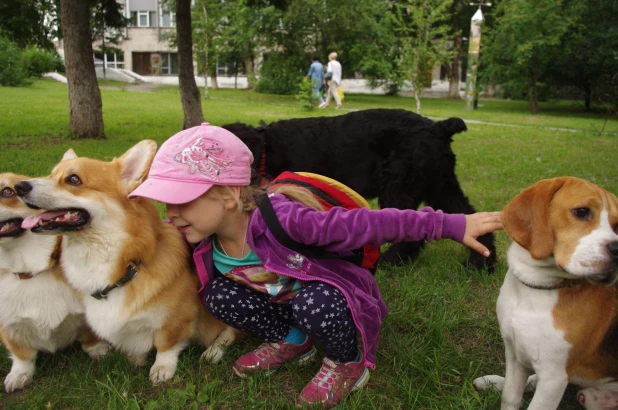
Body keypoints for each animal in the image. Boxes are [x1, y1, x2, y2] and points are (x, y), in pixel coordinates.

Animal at [0, 171, 108, 392]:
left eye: (7, 191)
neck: (30, 272)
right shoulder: (8, 326)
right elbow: (22, 355)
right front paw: (19, 375)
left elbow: (91, 335)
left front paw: (98, 349)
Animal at [13, 143, 241, 382]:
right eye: (51, 174)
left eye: (73, 179)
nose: (19, 186)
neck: (129, 265)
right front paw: (137, 358)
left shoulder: (177, 318)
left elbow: (166, 345)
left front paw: (162, 368)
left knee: (229, 334)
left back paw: (213, 351)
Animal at [223, 108, 496, 272]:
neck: (267, 148)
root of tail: (439, 128)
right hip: (441, 186)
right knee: (469, 216)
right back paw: (482, 262)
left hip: (400, 189)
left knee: (412, 230)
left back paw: (390, 261)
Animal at [472, 178, 616, 410]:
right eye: (582, 212)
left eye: (617, 224)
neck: (536, 288)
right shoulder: (514, 354)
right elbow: (510, 397)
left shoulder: (554, 378)